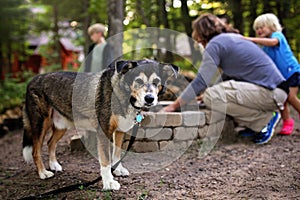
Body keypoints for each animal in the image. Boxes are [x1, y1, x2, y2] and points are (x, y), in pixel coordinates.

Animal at [22, 59, 178, 191]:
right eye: (138, 81)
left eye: (156, 82)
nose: (150, 98)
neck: (122, 92)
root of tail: (32, 80)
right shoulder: (104, 132)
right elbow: (106, 160)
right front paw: (109, 182)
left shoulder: (119, 131)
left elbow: (116, 153)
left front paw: (118, 170)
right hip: (41, 123)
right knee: (35, 151)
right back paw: (43, 173)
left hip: (61, 125)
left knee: (50, 143)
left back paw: (54, 165)